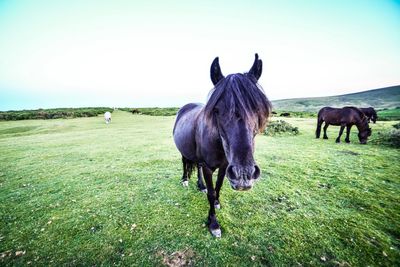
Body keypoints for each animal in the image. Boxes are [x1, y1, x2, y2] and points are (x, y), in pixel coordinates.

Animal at [173, 53, 272, 238]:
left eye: (258, 109)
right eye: (216, 110)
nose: (244, 174)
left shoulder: (225, 166)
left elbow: (218, 187)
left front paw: (217, 202)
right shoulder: (208, 168)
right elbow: (211, 194)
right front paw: (213, 223)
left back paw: (201, 186)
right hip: (184, 152)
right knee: (184, 163)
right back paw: (185, 180)